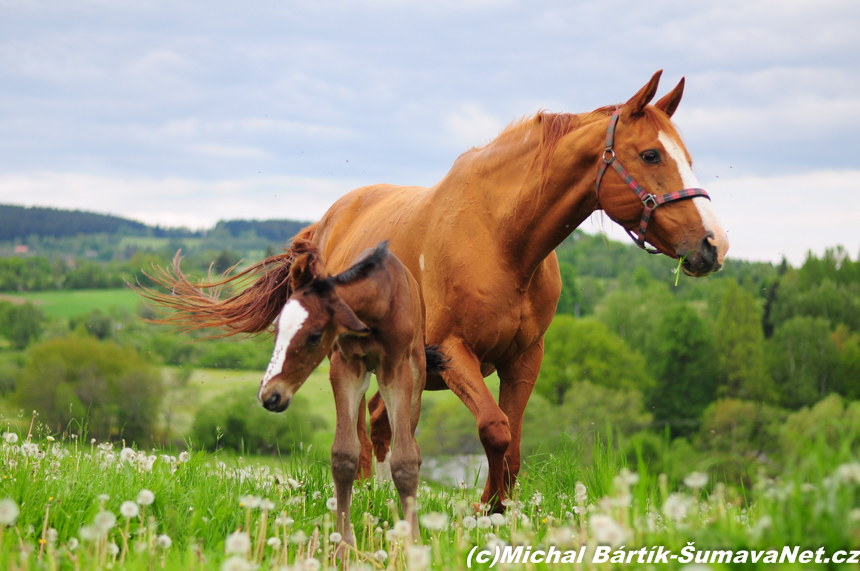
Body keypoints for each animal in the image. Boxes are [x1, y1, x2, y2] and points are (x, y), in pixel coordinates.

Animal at [139, 69, 724, 512]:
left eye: (686, 156)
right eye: (650, 155)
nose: (713, 245)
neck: (501, 237)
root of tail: (324, 226)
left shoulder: (523, 358)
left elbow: (512, 440)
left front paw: (499, 509)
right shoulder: (451, 351)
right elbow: (494, 429)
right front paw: (485, 508)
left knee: (381, 423)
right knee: (361, 426)